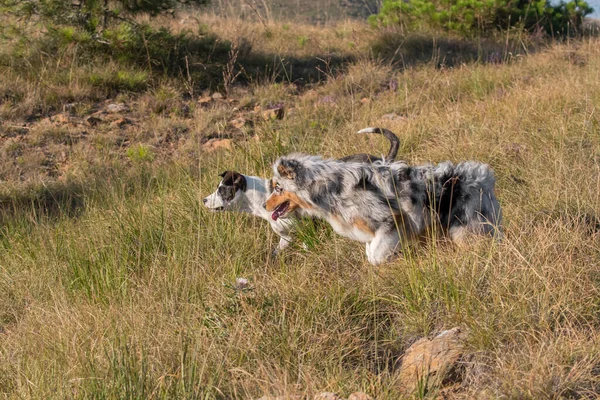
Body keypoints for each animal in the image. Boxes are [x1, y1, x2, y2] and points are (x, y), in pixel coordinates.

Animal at [264, 152, 504, 262]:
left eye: (277, 188)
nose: (265, 206)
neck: (331, 189)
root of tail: (484, 177)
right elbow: (370, 249)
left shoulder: (389, 222)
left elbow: (375, 256)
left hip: (467, 230)